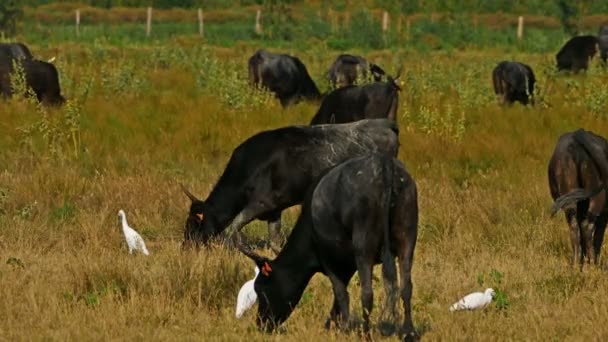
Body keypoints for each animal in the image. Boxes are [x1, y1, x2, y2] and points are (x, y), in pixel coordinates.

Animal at [236, 154, 418, 340]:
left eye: (261, 289)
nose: (262, 324)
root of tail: (384, 163)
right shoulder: (347, 265)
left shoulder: (330, 262)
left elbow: (341, 293)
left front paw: (342, 327)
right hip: (407, 240)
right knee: (406, 287)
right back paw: (408, 332)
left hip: (364, 249)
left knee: (367, 293)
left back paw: (366, 333)